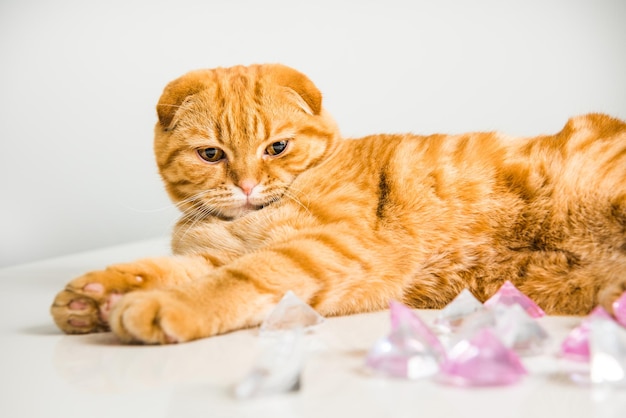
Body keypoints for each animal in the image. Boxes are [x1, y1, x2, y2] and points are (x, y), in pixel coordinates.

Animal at [50, 62, 624, 342]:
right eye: (211, 154)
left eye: (276, 148)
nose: (247, 185)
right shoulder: (216, 252)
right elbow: (171, 268)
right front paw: (94, 295)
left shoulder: (331, 247)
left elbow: (234, 280)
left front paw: (160, 306)